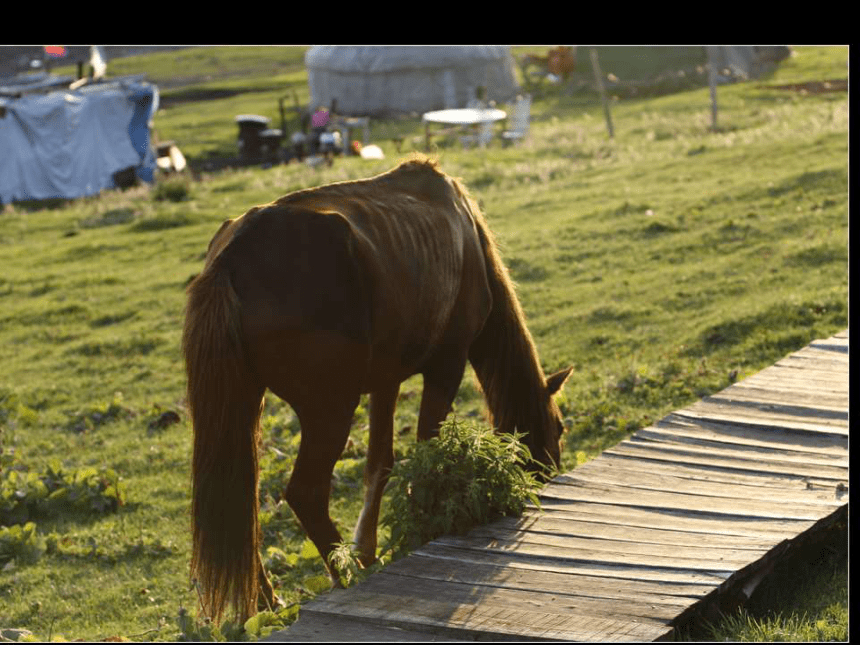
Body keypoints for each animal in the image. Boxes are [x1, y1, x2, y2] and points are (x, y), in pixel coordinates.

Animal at [181, 155, 572, 620]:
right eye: (560, 428)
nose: (550, 475)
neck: (465, 233)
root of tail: (232, 259)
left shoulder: (386, 381)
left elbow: (379, 465)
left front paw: (367, 547)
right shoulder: (447, 365)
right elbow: (427, 448)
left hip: (243, 410)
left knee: (237, 498)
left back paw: (267, 600)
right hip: (330, 409)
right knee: (306, 493)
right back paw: (346, 576)